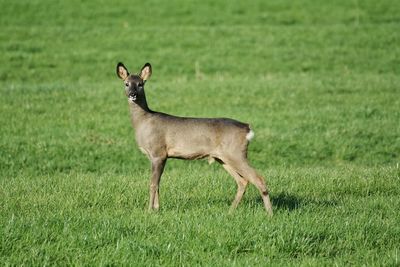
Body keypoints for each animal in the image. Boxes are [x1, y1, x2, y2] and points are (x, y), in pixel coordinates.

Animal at [115, 62, 272, 216]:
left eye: (140, 84)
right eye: (126, 83)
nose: (133, 95)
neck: (144, 121)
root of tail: (247, 128)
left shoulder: (158, 152)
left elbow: (153, 183)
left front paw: (149, 211)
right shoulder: (157, 156)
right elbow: (158, 183)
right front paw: (157, 208)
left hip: (236, 153)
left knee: (258, 179)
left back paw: (270, 214)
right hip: (224, 157)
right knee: (243, 181)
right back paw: (230, 212)